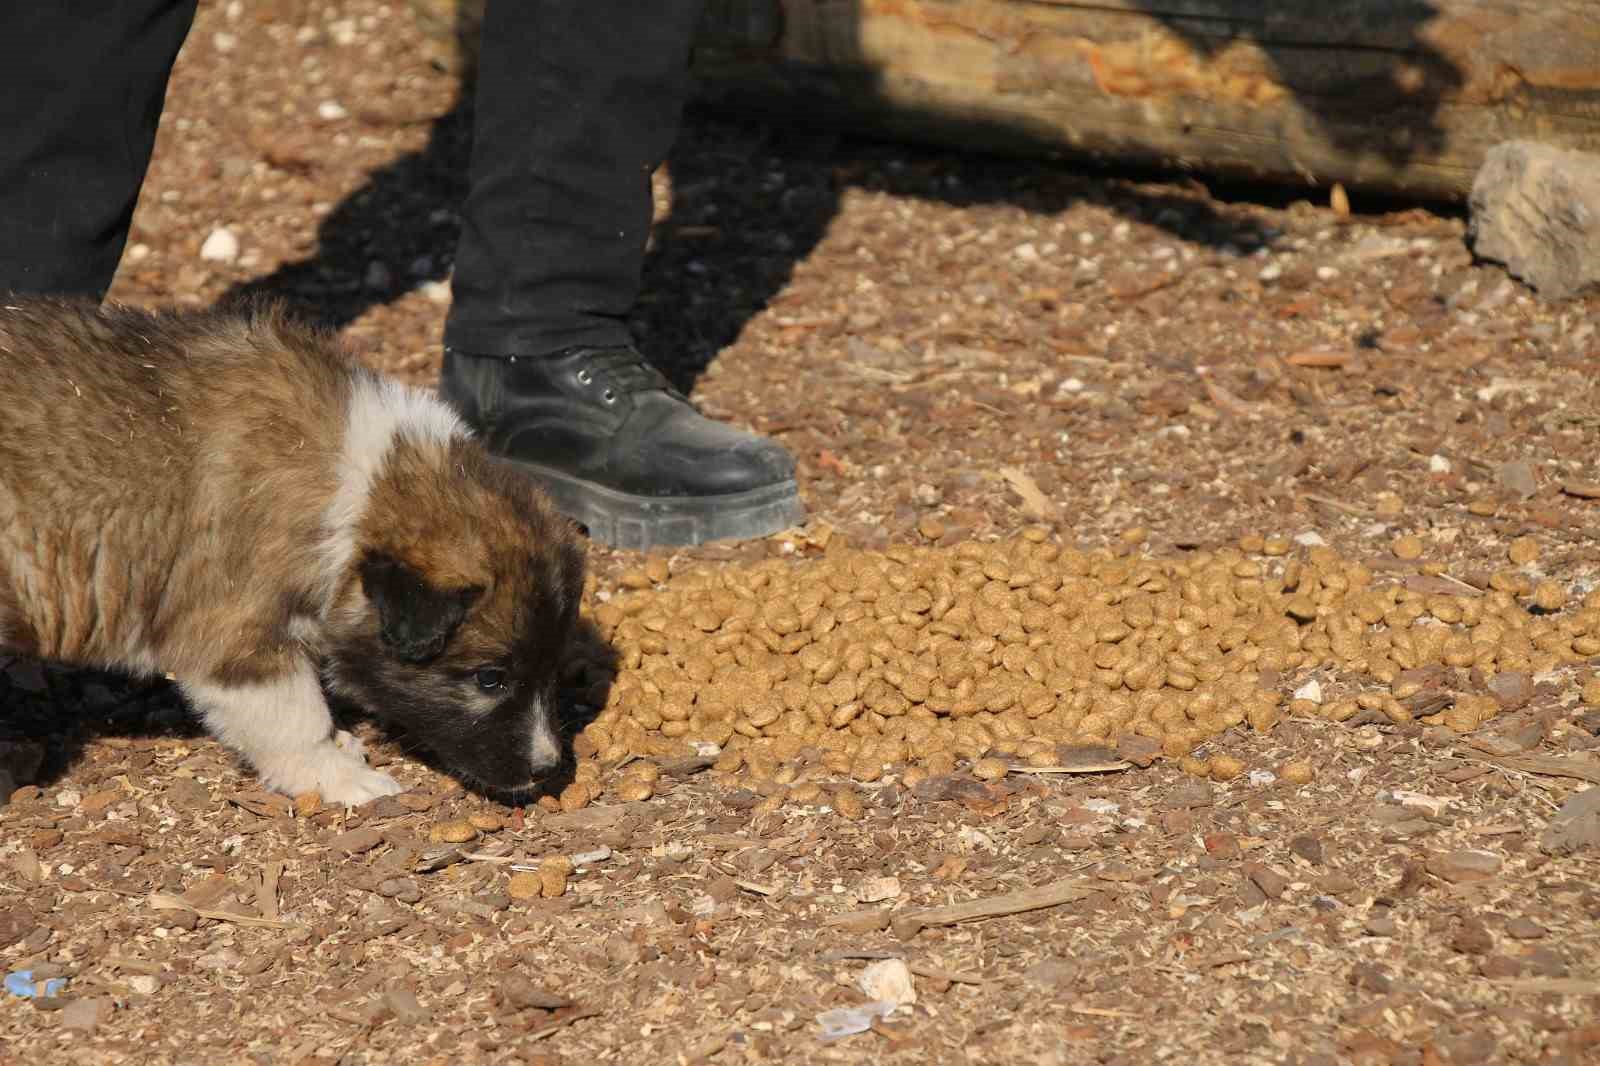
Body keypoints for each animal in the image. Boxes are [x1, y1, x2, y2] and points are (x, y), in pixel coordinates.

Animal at [0, 294, 588, 800]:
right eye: (490, 678)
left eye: (553, 668)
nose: (548, 769)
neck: (355, 482)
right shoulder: (236, 633)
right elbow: (294, 716)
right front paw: (336, 774)